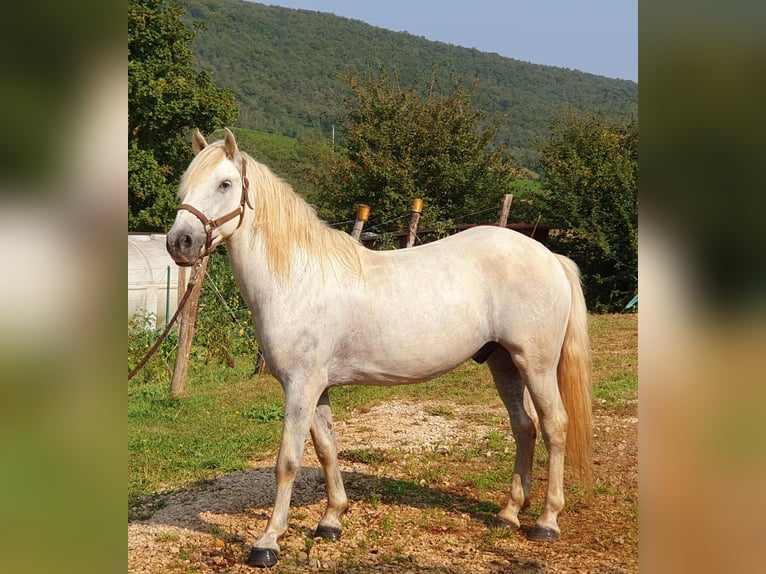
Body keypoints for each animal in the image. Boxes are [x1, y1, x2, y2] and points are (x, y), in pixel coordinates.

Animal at [170, 128, 592, 568]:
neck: (298, 278)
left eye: (225, 184)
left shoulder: (300, 385)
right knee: (524, 427)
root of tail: (550, 256)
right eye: (186, 183)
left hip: (536, 365)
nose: (180, 242)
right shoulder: (316, 387)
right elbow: (327, 448)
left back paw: (546, 522)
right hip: (505, 363)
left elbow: (287, 461)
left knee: (554, 426)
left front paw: (268, 541)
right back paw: (508, 513)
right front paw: (331, 520)